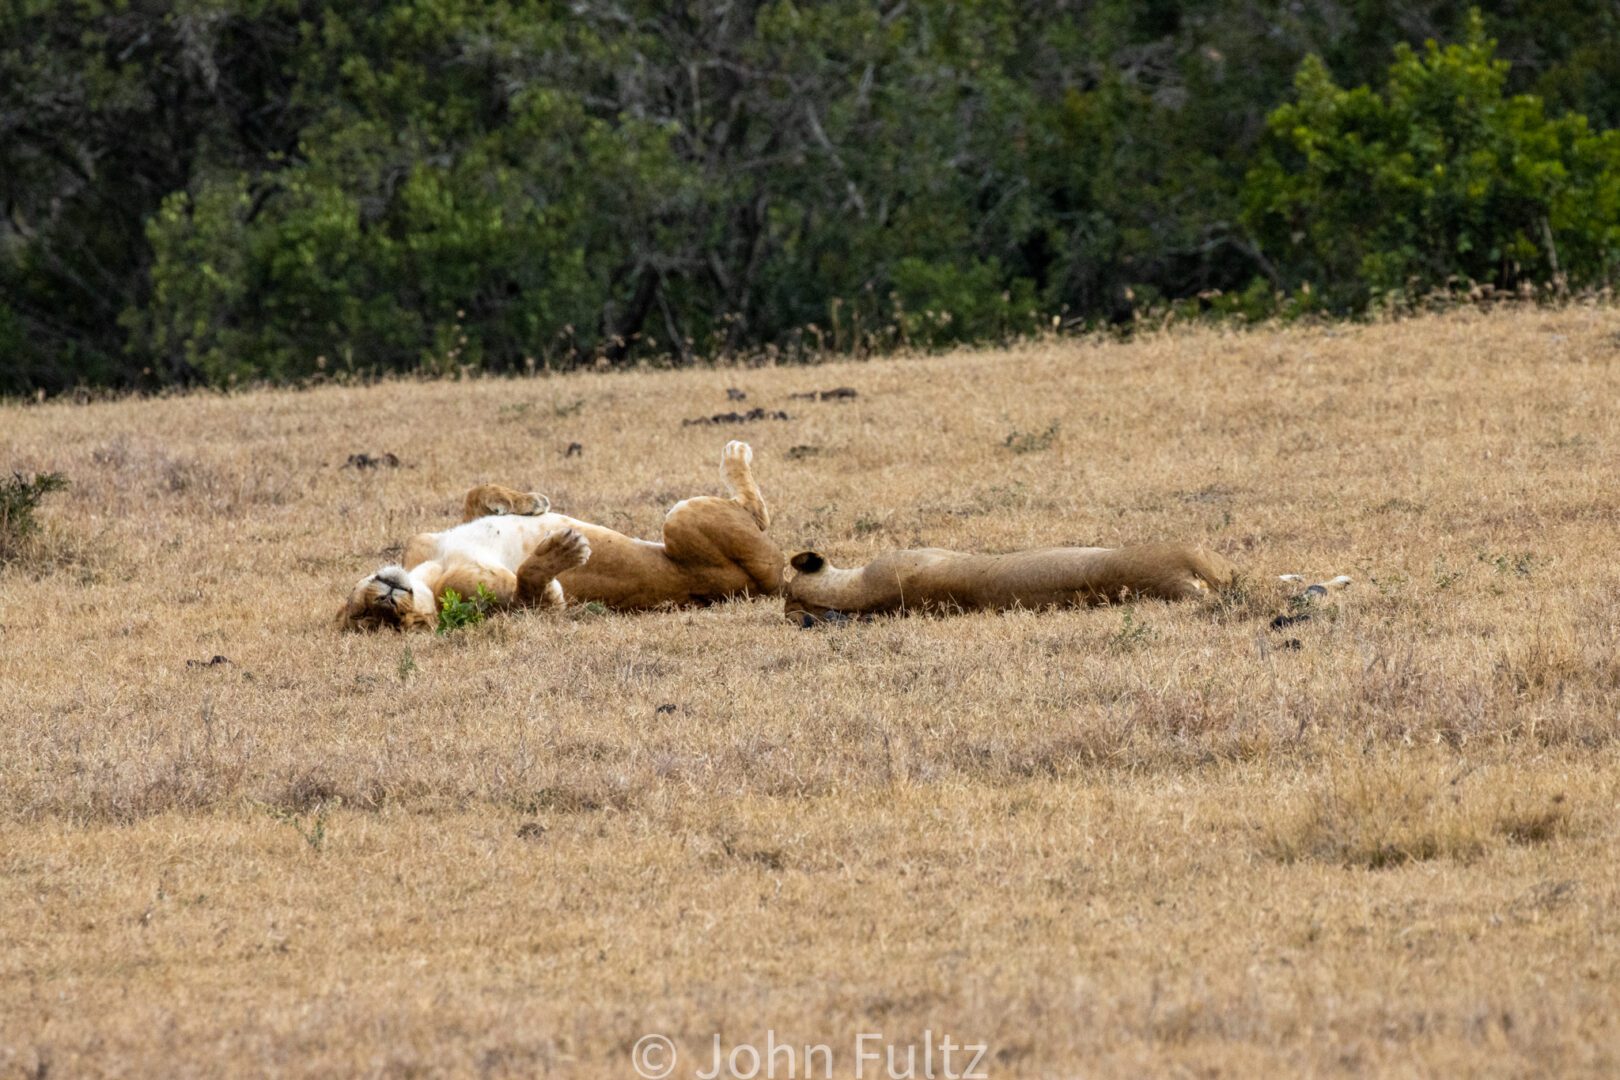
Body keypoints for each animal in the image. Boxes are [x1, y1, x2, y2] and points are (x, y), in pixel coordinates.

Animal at [340, 440, 784, 628]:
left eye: (357, 609)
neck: (429, 575)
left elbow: (474, 494)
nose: (385, 600)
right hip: (681, 518)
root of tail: (770, 586)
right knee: (757, 512)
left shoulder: (422, 542)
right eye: (373, 621)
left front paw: (527, 502)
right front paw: (561, 552)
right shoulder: (504, 602)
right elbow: (532, 592)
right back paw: (736, 454)